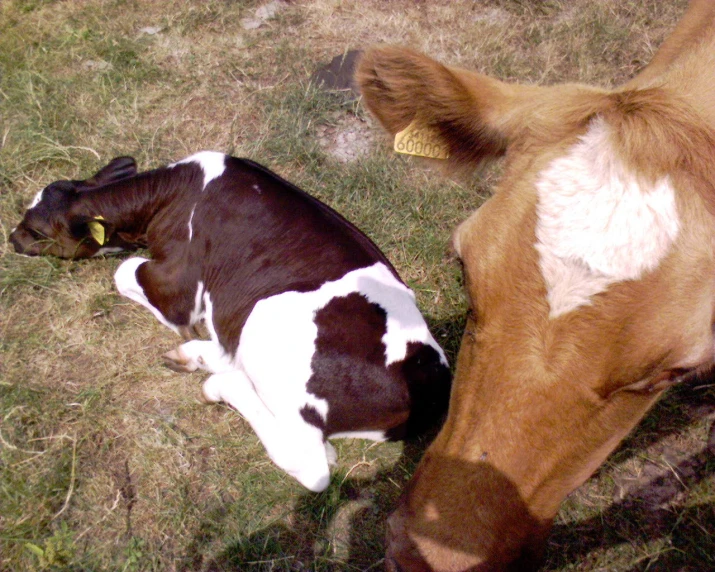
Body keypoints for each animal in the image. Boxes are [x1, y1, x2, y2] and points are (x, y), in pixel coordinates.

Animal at [8, 151, 450, 492]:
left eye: (36, 229)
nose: (11, 239)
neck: (171, 193)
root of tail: (432, 381)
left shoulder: (178, 286)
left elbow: (124, 273)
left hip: (266, 318)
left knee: (311, 465)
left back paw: (219, 383)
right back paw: (197, 357)